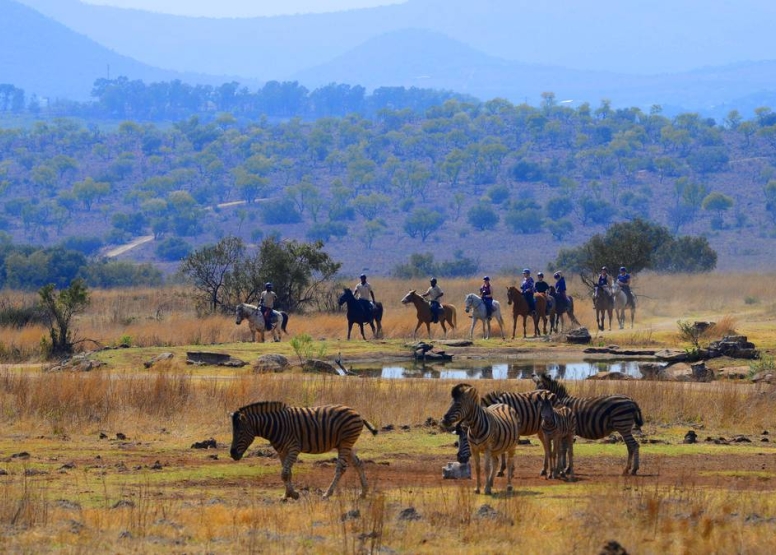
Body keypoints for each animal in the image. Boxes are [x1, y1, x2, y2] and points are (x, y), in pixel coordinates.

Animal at [229, 400, 378, 500]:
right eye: (233, 432)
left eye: (240, 433)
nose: (232, 454)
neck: (276, 425)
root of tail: (357, 413)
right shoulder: (281, 451)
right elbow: (287, 473)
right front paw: (286, 495)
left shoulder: (294, 448)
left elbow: (284, 473)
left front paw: (293, 494)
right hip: (343, 444)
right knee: (358, 463)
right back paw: (363, 492)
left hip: (346, 441)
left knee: (340, 468)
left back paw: (327, 494)